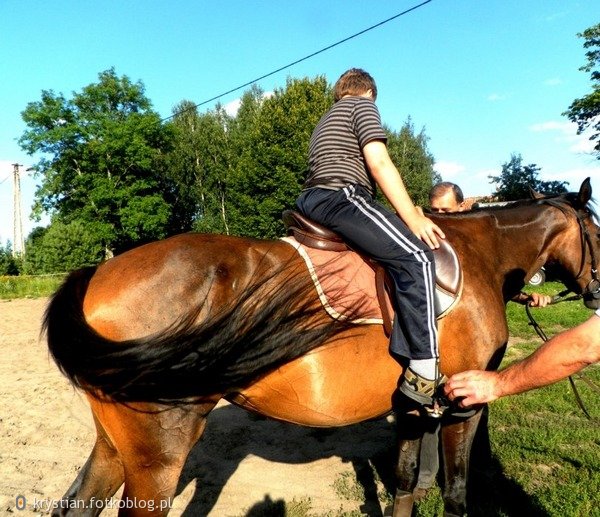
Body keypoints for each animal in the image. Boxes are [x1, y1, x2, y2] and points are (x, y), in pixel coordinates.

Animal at [44, 179, 596, 512]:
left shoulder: (416, 408)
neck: (479, 254)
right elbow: (456, 492)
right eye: (597, 228)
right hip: (157, 453)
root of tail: (97, 274)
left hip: (115, 444)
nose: (596, 291)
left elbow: (404, 483)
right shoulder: (464, 403)